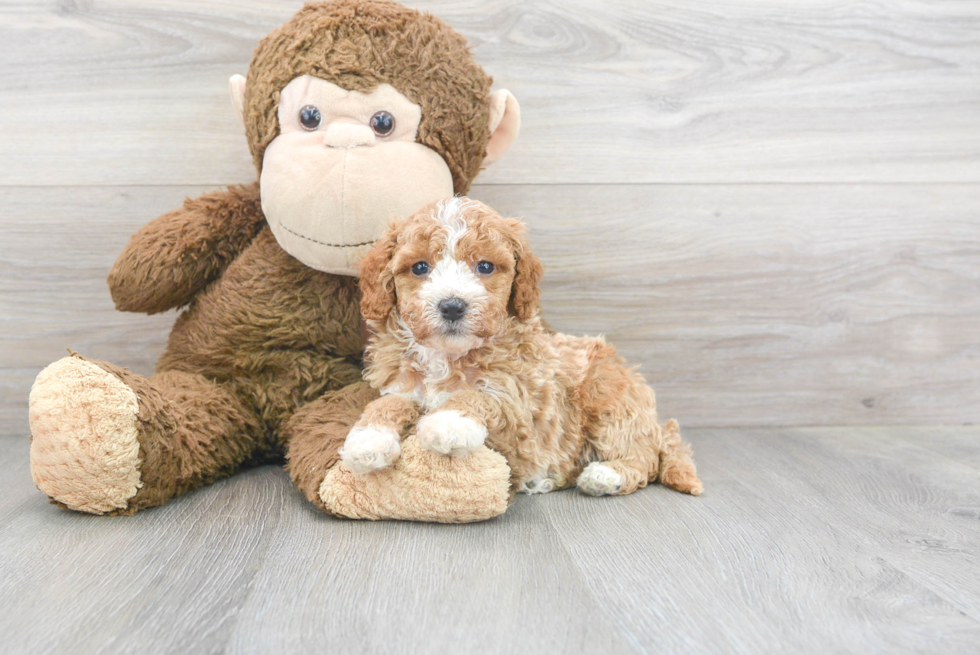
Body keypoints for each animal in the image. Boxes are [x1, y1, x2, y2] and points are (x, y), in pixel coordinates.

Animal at [340, 196, 700, 498]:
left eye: (485, 266)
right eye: (419, 267)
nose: (452, 306)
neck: (448, 355)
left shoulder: (524, 418)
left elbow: (483, 397)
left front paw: (449, 422)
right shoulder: (403, 386)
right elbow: (388, 403)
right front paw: (367, 439)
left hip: (610, 401)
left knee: (643, 457)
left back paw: (605, 476)